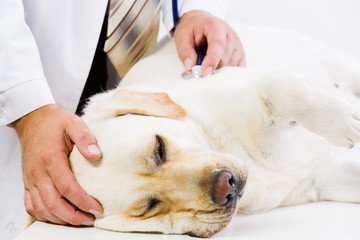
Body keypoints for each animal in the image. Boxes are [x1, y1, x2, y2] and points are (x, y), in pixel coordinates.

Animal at [68, 23, 360, 237]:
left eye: (159, 147)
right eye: (150, 207)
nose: (226, 187)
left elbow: (275, 84)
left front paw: (347, 121)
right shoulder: (324, 179)